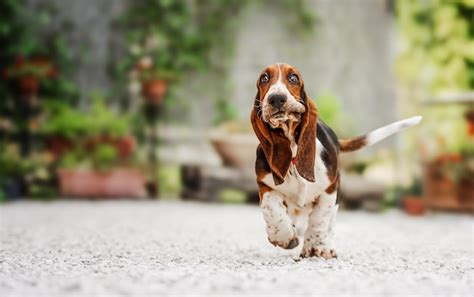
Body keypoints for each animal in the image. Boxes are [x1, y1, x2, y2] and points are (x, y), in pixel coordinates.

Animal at [252, 63, 422, 260]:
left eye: (293, 78)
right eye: (264, 78)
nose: (276, 98)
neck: (293, 154)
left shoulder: (330, 189)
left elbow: (319, 219)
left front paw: (315, 246)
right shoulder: (265, 185)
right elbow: (271, 209)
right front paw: (283, 237)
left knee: (329, 223)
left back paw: (326, 246)